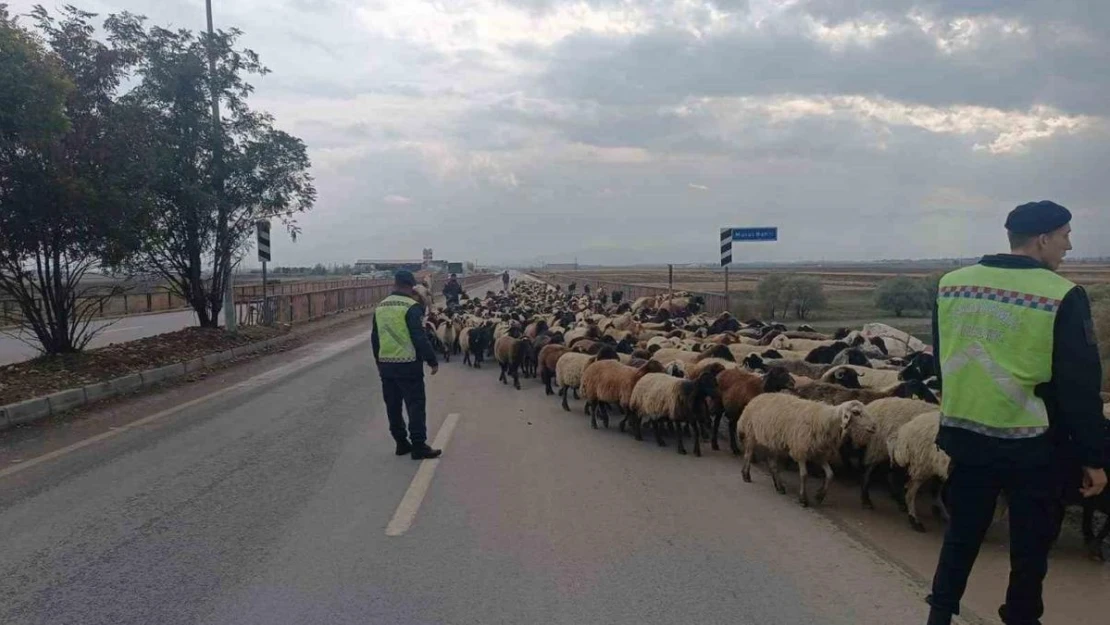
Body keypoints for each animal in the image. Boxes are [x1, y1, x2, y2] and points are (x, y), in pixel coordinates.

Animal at [741, 395, 879, 508]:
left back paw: (779, 486)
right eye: (856, 412)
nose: (874, 426)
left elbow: (830, 474)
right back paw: (746, 475)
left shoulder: (819, 453)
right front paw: (803, 499)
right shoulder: (800, 450)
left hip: (772, 443)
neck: (825, 420)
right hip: (751, 433)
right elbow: (804, 475)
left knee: (773, 465)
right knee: (748, 454)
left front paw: (820, 496)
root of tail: (756, 397)